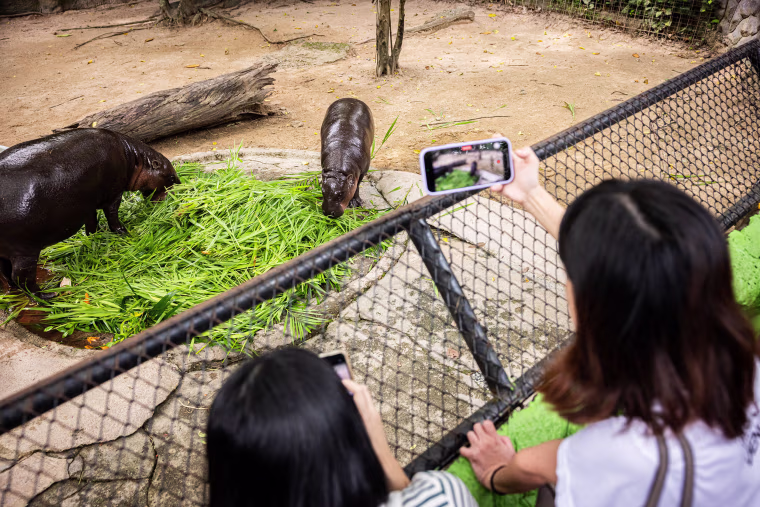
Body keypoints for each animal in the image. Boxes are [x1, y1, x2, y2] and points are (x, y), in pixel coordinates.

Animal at [0, 128, 180, 298]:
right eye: (171, 177)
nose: (179, 188)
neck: (136, 159)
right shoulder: (115, 194)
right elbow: (112, 216)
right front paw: (124, 233)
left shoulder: (88, 206)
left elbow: (92, 221)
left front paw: (94, 237)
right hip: (25, 251)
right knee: (21, 277)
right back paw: (48, 295)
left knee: (6, 271)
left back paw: (15, 288)